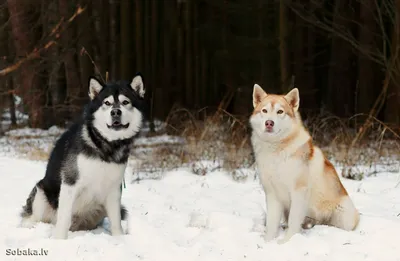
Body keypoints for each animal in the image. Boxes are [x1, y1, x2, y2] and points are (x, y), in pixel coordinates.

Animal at [19, 74, 147, 239]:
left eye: (125, 102)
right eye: (107, 103)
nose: (115, 112)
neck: (106, 145)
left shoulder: (114, 188)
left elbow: (116, 220)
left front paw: (119, 238)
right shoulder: (70, 184)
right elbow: (64, 218)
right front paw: (59, 240)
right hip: (41, 192)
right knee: (35, 217)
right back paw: (31, 225)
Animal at [250, 84, 360, 243]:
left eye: (280, 111)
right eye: (264, 110)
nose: (269, 123)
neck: (276, 150)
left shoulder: (298, 192)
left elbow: (293, 221)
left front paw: (286, 242)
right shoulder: (272, 194)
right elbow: (271, 223)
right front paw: (267, 242)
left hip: (342, 215)